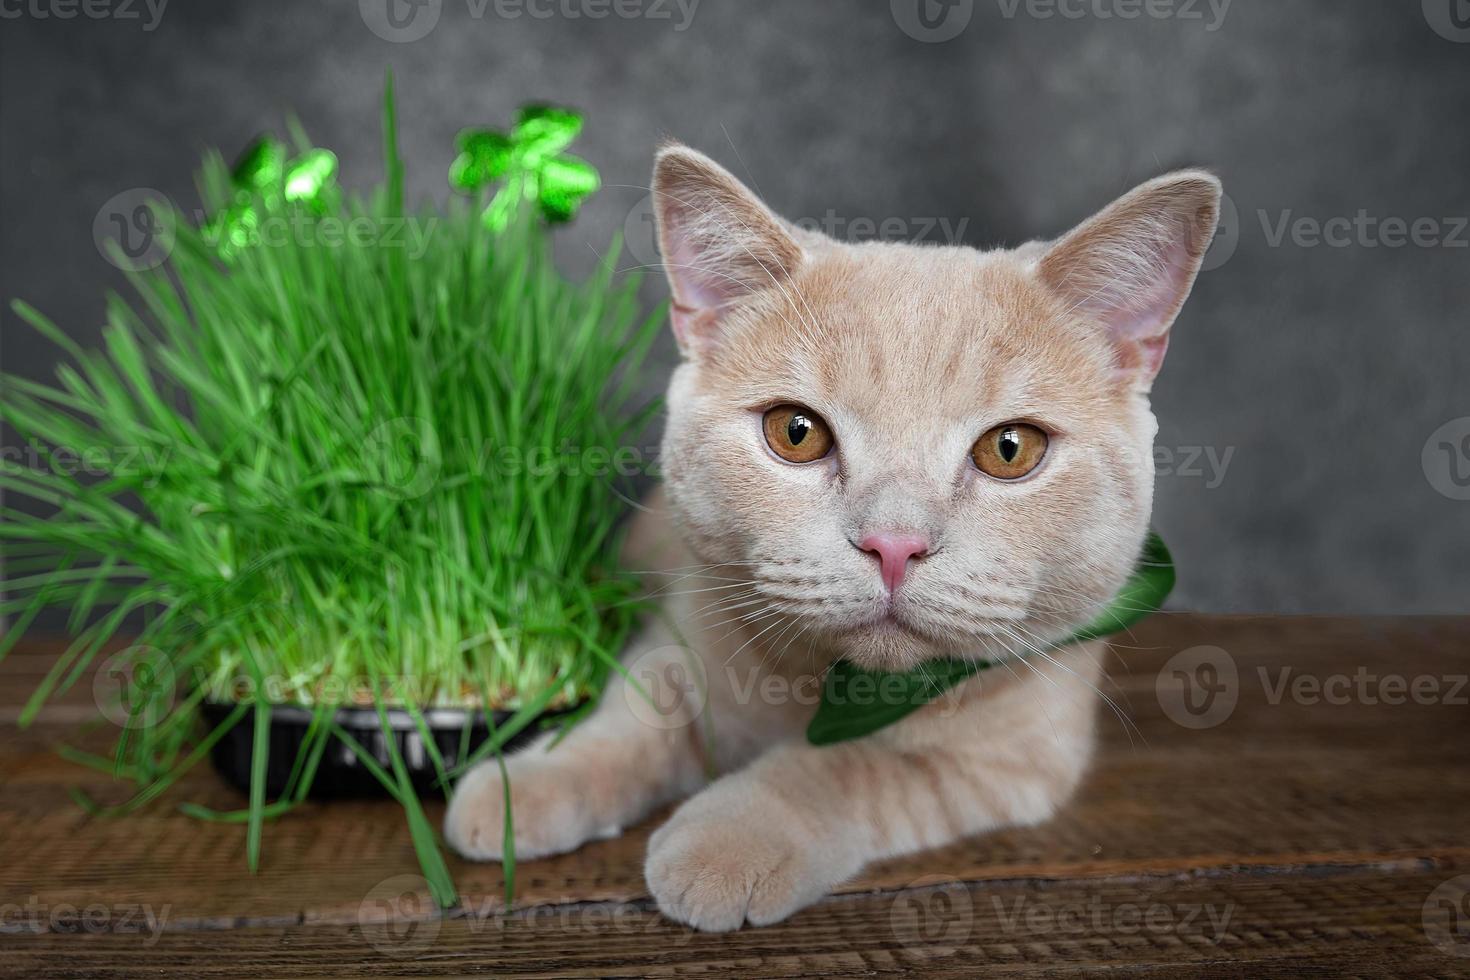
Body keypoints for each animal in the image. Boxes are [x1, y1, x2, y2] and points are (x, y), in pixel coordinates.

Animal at [441, 141, 1223, 934]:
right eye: (796, 432)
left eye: (1011, 450)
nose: (893, 545)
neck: (822, 687)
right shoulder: (682, 631)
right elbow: (634, 716)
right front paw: (528, 782)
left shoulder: (1013, 759)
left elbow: (850, 767)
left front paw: (732, 835)